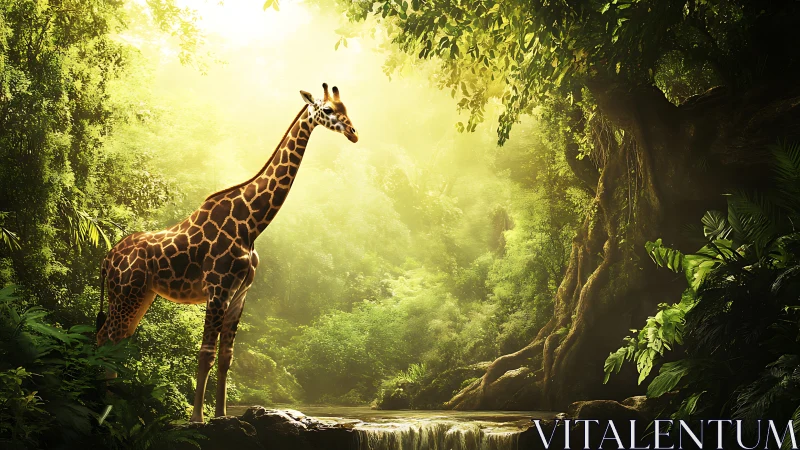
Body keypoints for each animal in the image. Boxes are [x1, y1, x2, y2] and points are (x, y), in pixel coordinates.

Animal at [96, 83, 358, 422]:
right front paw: (197, 419)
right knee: (106, 340)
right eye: (327, 110)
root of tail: (106, 259)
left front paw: (221, 415)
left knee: (113, 342)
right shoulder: (218, 288)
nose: (353, 132)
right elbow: (206, 353)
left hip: (139, 296)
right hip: (125, 294)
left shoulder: (240, 293)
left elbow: (226, 357)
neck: (252, 224)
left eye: (346, 107)